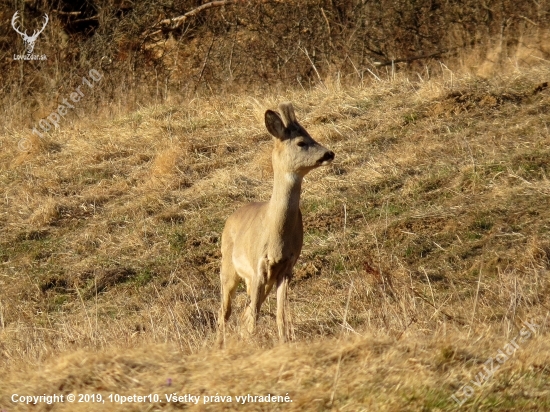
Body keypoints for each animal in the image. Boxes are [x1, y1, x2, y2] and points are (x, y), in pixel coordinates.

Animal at [219, 102, 336, 344]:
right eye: (301, 142)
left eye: (310, 135)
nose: (329, 153)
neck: (276, 232)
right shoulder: (259, 265)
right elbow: (254, 314)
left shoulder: (287, 267)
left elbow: (281, 314)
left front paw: (284, 341)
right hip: (228, 268)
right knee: (224, 312)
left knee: (243, 312)